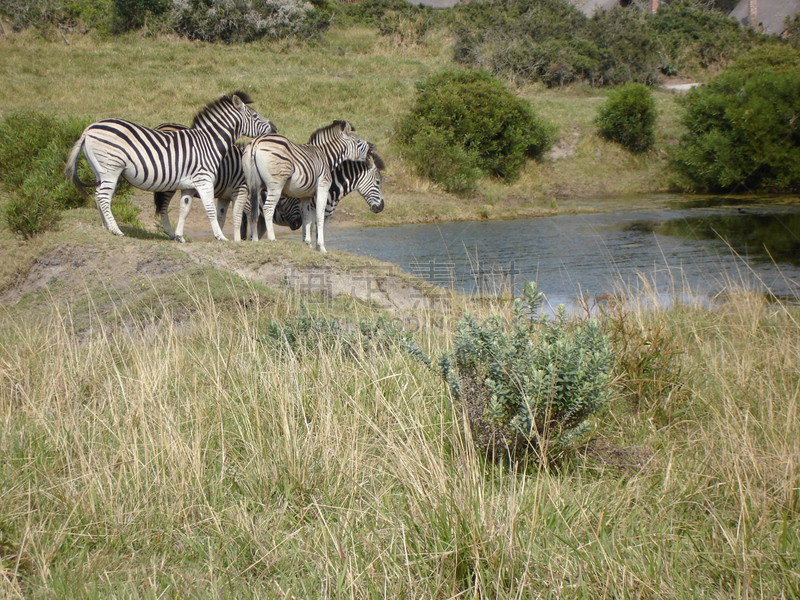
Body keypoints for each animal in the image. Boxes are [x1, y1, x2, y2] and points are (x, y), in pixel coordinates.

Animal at [63, 91, 276, 239]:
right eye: (255, 116)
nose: (274, 127)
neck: (209, 143)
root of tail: (88, 129)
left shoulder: (189, 185)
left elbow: (184, 209)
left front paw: (179, 236)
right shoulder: (204, 180)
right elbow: (210, 209)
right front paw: (220, 237)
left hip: (99, 170)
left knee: (98, 195)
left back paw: (106, 227)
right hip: (111, 168)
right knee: (103, 196)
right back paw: (116, 230)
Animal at [151, 123, 304, 241]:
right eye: (295, 198)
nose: (299, 223)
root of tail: (160, 126)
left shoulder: (227, 196)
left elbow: (224, 219)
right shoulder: (246, 198)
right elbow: (248, 220)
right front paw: (247, 239)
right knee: (163, 206)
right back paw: (170, 233)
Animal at [242, 119, 370, 253]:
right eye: (358, 142)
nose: (371, 147)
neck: (325, 156)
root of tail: (256, 142)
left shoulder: (306, 195)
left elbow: (307, 218)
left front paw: (308, 243)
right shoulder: (322, 187)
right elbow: (319, 217)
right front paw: (322, 247)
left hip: (254, 185)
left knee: (255, 212)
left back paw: (255, 239)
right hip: (275, 184)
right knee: (268, 208)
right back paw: (272, 238)